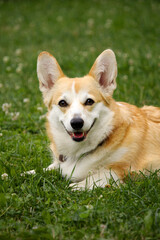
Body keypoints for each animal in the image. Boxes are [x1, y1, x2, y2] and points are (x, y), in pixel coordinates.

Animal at [36, 49, 160, 189]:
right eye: (62, 103)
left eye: (89, 101)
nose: (77, 123)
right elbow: (43, 169)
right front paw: (28, 173)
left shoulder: (117, 173)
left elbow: (81, 183)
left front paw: (69, 187)